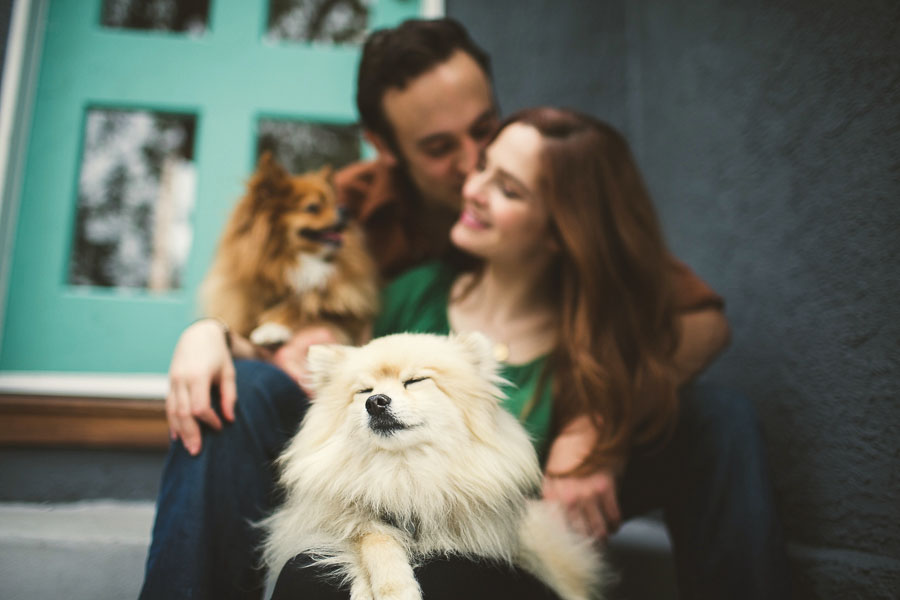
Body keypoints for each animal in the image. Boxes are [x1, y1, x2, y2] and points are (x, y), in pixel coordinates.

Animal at [264, 330, 608, 596]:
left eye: (415, 381)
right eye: (364, 391)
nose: (375, 402)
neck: (405, 473)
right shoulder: (336, 526)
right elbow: (372, 539)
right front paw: (391, 589)